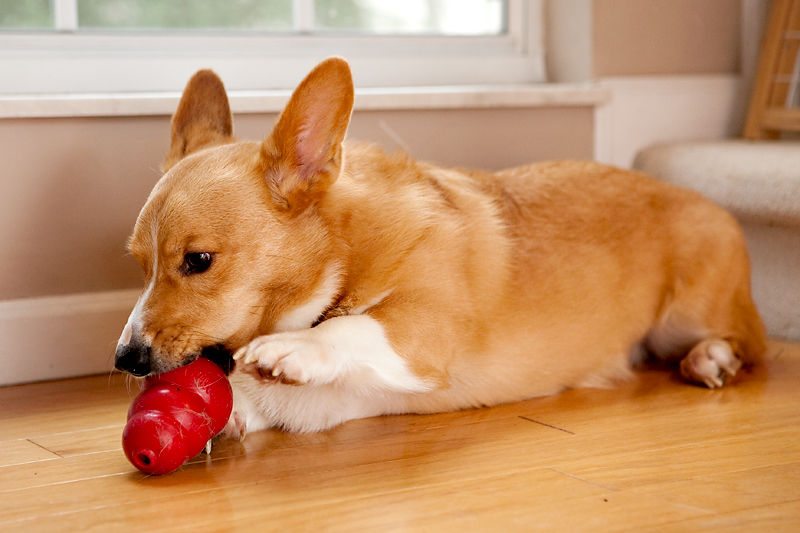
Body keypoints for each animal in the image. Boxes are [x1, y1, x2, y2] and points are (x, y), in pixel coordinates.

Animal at [114, 57, 768, 436]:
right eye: (140, 265)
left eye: (198, 261)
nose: (126, 359)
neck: (347, 258)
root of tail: (700, 198)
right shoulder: (335, 400)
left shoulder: (424, 331)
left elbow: (353, 327)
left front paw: (292, 349)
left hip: (687, 315)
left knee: (751, 345)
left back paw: (712, 357)